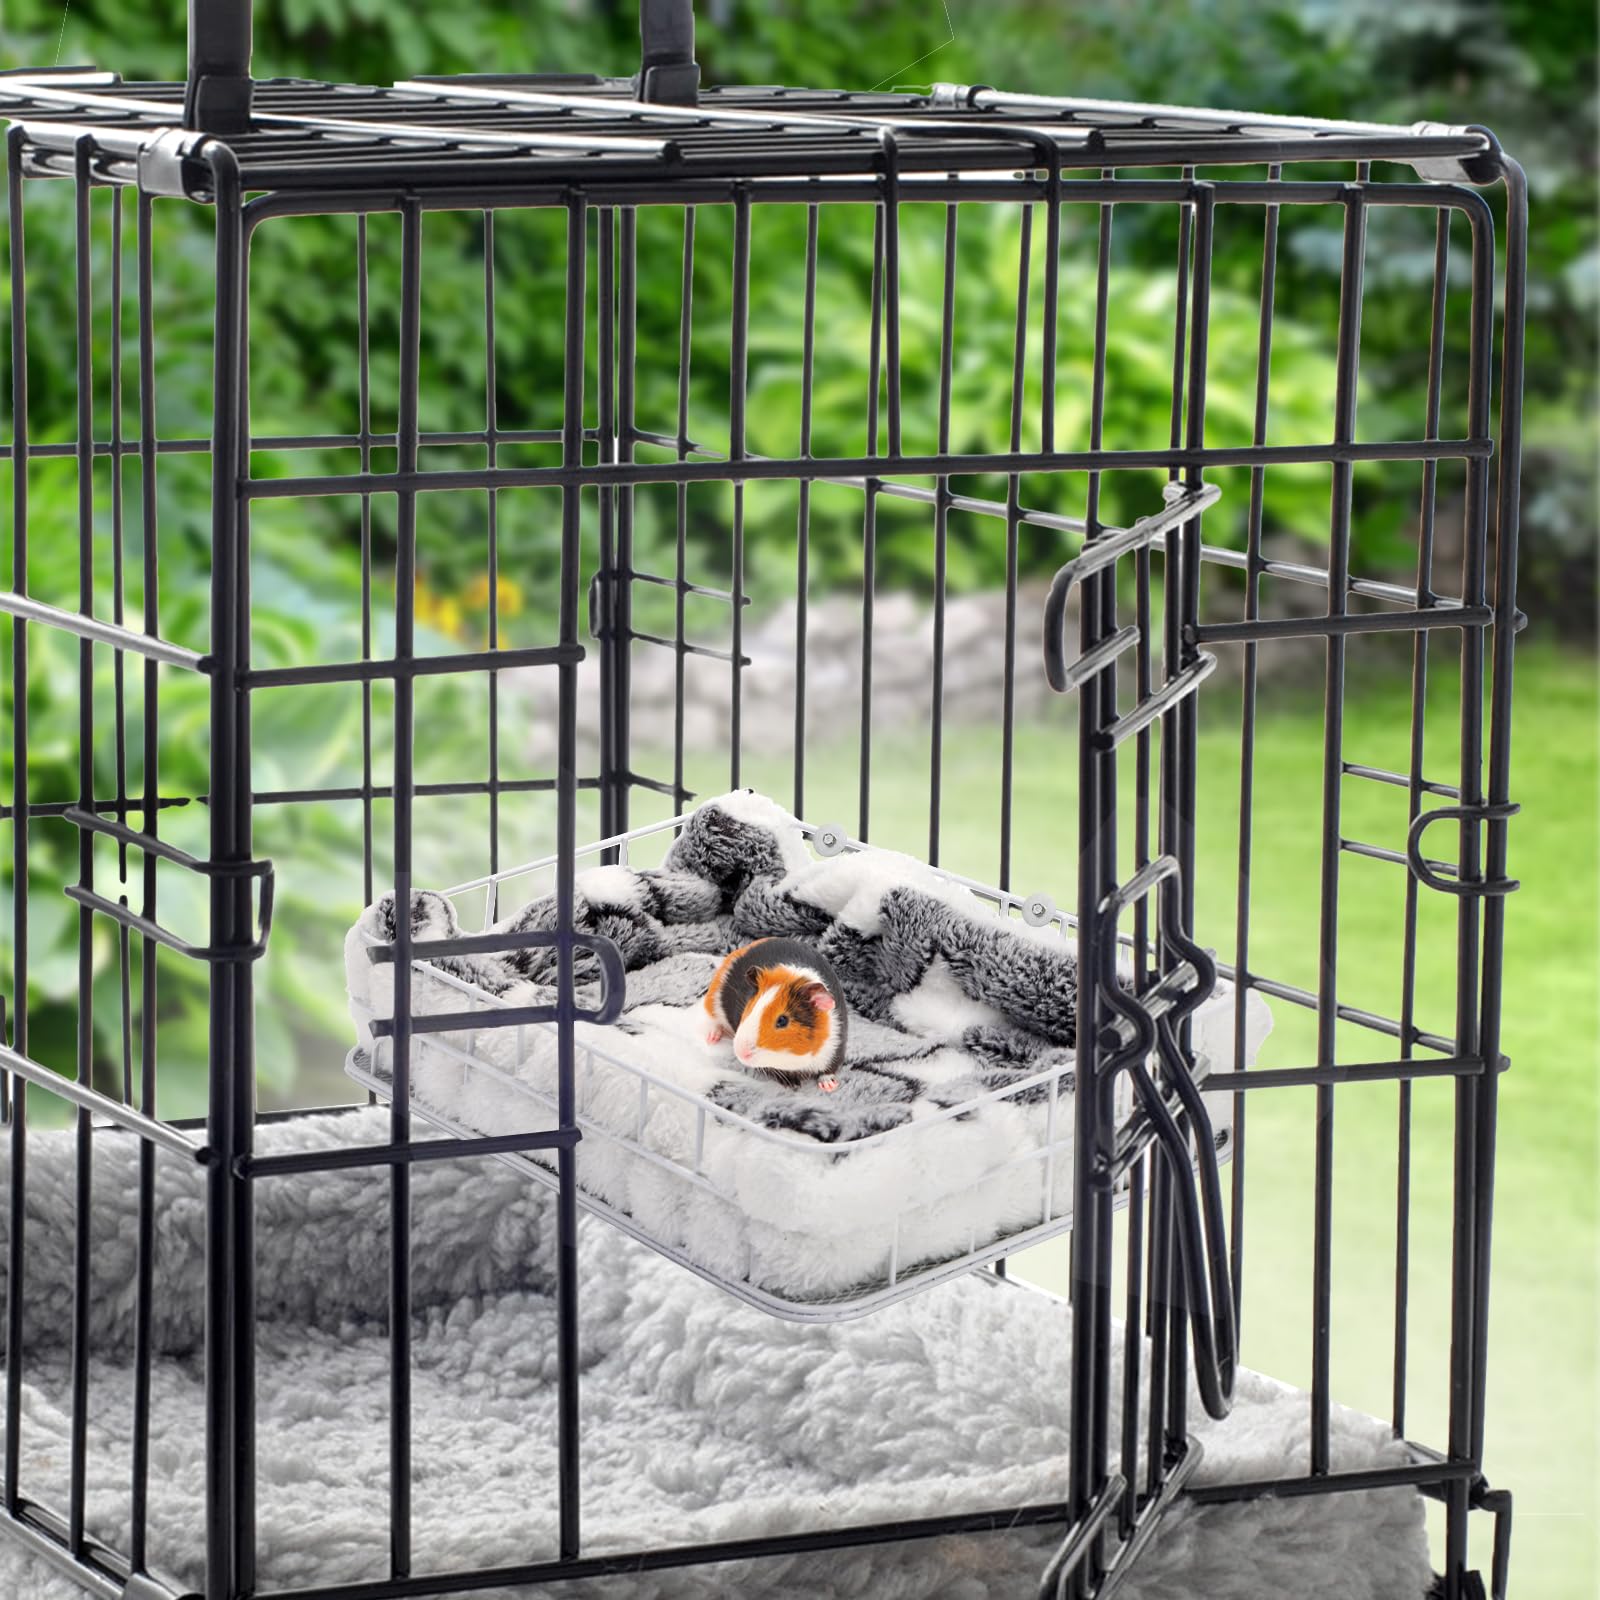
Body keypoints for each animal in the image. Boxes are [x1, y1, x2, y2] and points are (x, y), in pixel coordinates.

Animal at [703, 937, 849, 1091]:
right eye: (751, 1007)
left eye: (782, 1020)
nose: (741, 1052)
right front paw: (793, 1084)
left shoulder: (836, 1047)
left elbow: (829, 1070)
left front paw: (829, 1086)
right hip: (713, 1001)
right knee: (713, 1022)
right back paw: (712, 1038)